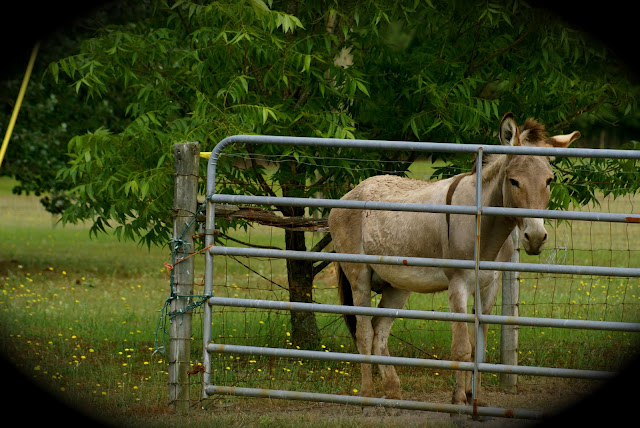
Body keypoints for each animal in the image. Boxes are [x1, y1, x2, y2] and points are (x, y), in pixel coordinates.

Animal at [327, 113, 580, 407]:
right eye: (514, 181)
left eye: (549, 181)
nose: (536, 237)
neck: (483, 224)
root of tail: (353, 191)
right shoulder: (458, 284)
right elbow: (461, 348)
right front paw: (458, 399)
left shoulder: (489, 286)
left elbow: (478, 345)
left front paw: (476, 398)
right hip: (359, 276)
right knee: (364, 332)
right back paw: (367, 394)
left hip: (398, 284)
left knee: (379, 331)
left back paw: (393, 391)